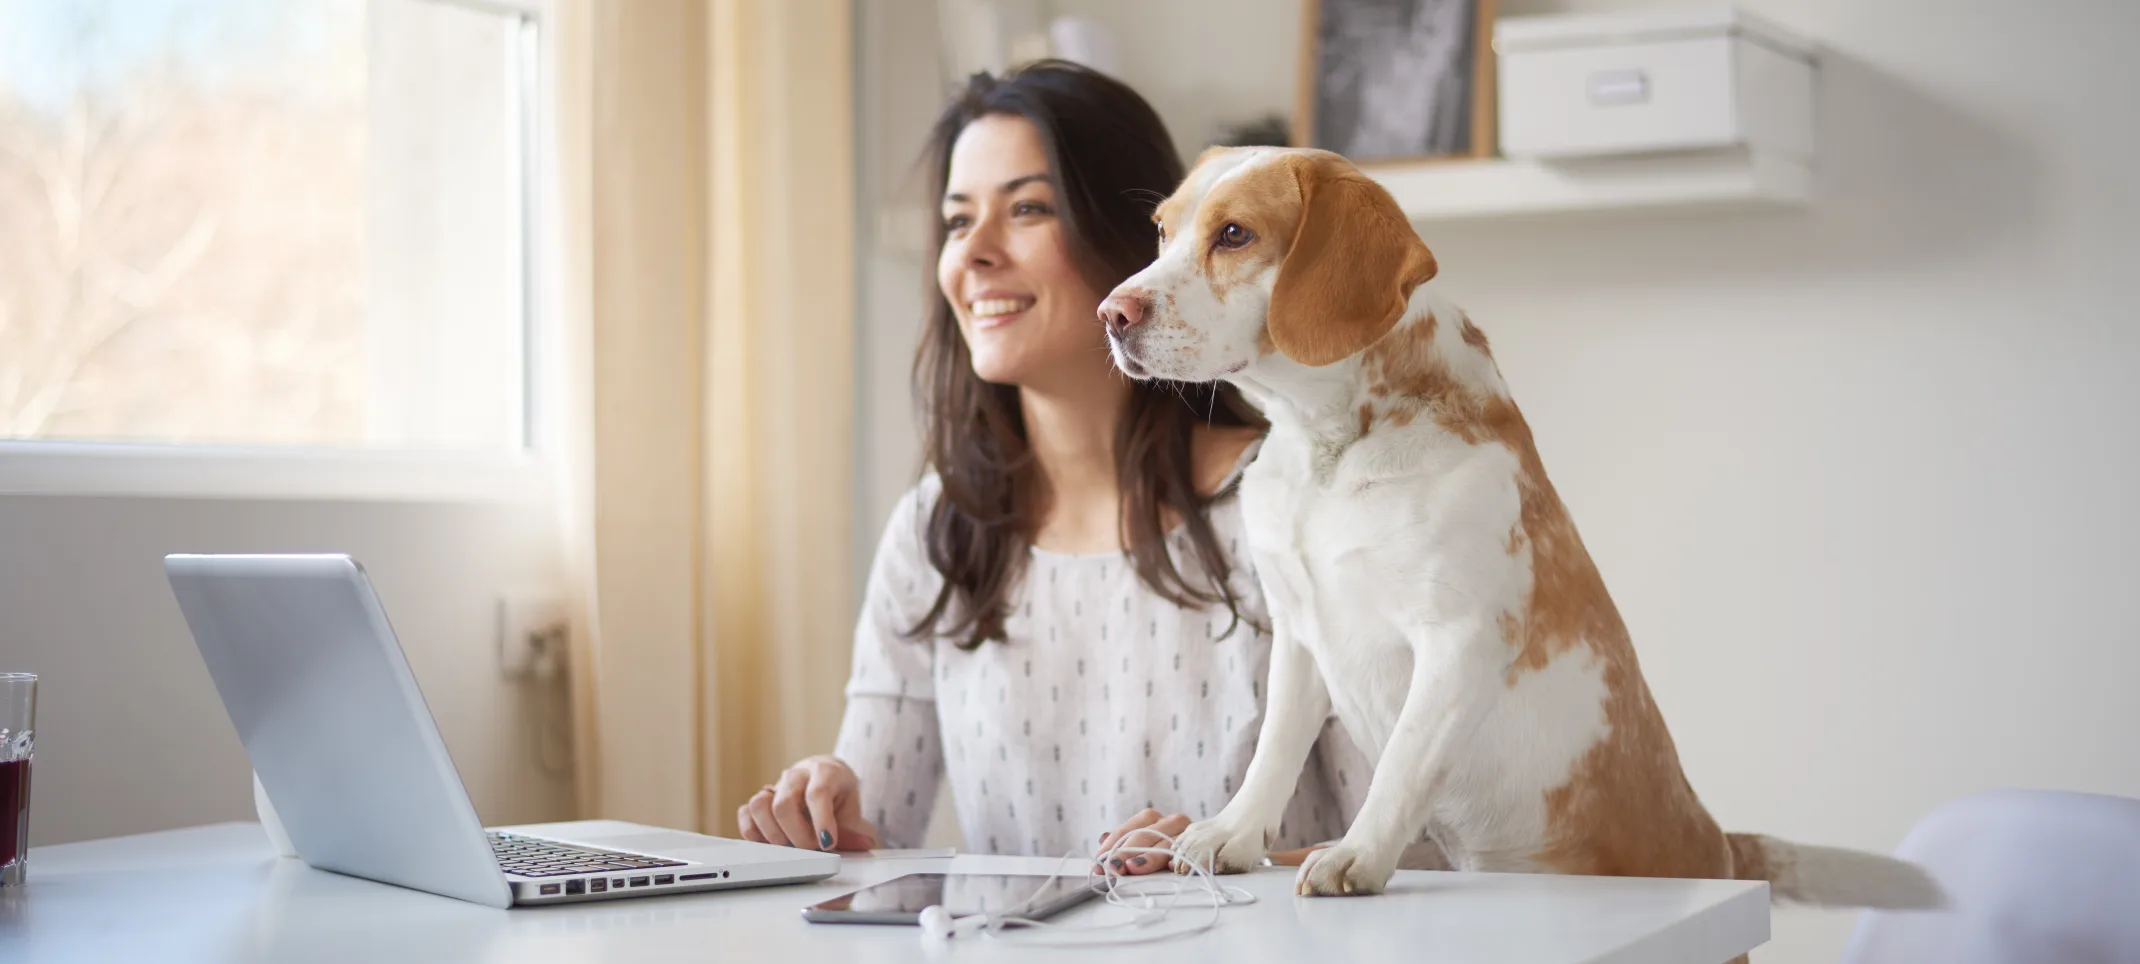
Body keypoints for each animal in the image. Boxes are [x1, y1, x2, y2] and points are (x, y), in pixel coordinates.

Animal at [1095, 144, 1951, 912]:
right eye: (1162, 230)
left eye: (1235, 234)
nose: (1112, 313)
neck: (1327, 454)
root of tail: (1721, 847)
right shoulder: (1300, 635)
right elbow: (1273, 752)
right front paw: (1232, 835)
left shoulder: (1458, 637)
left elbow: (1401, 763)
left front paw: (1357, 855)